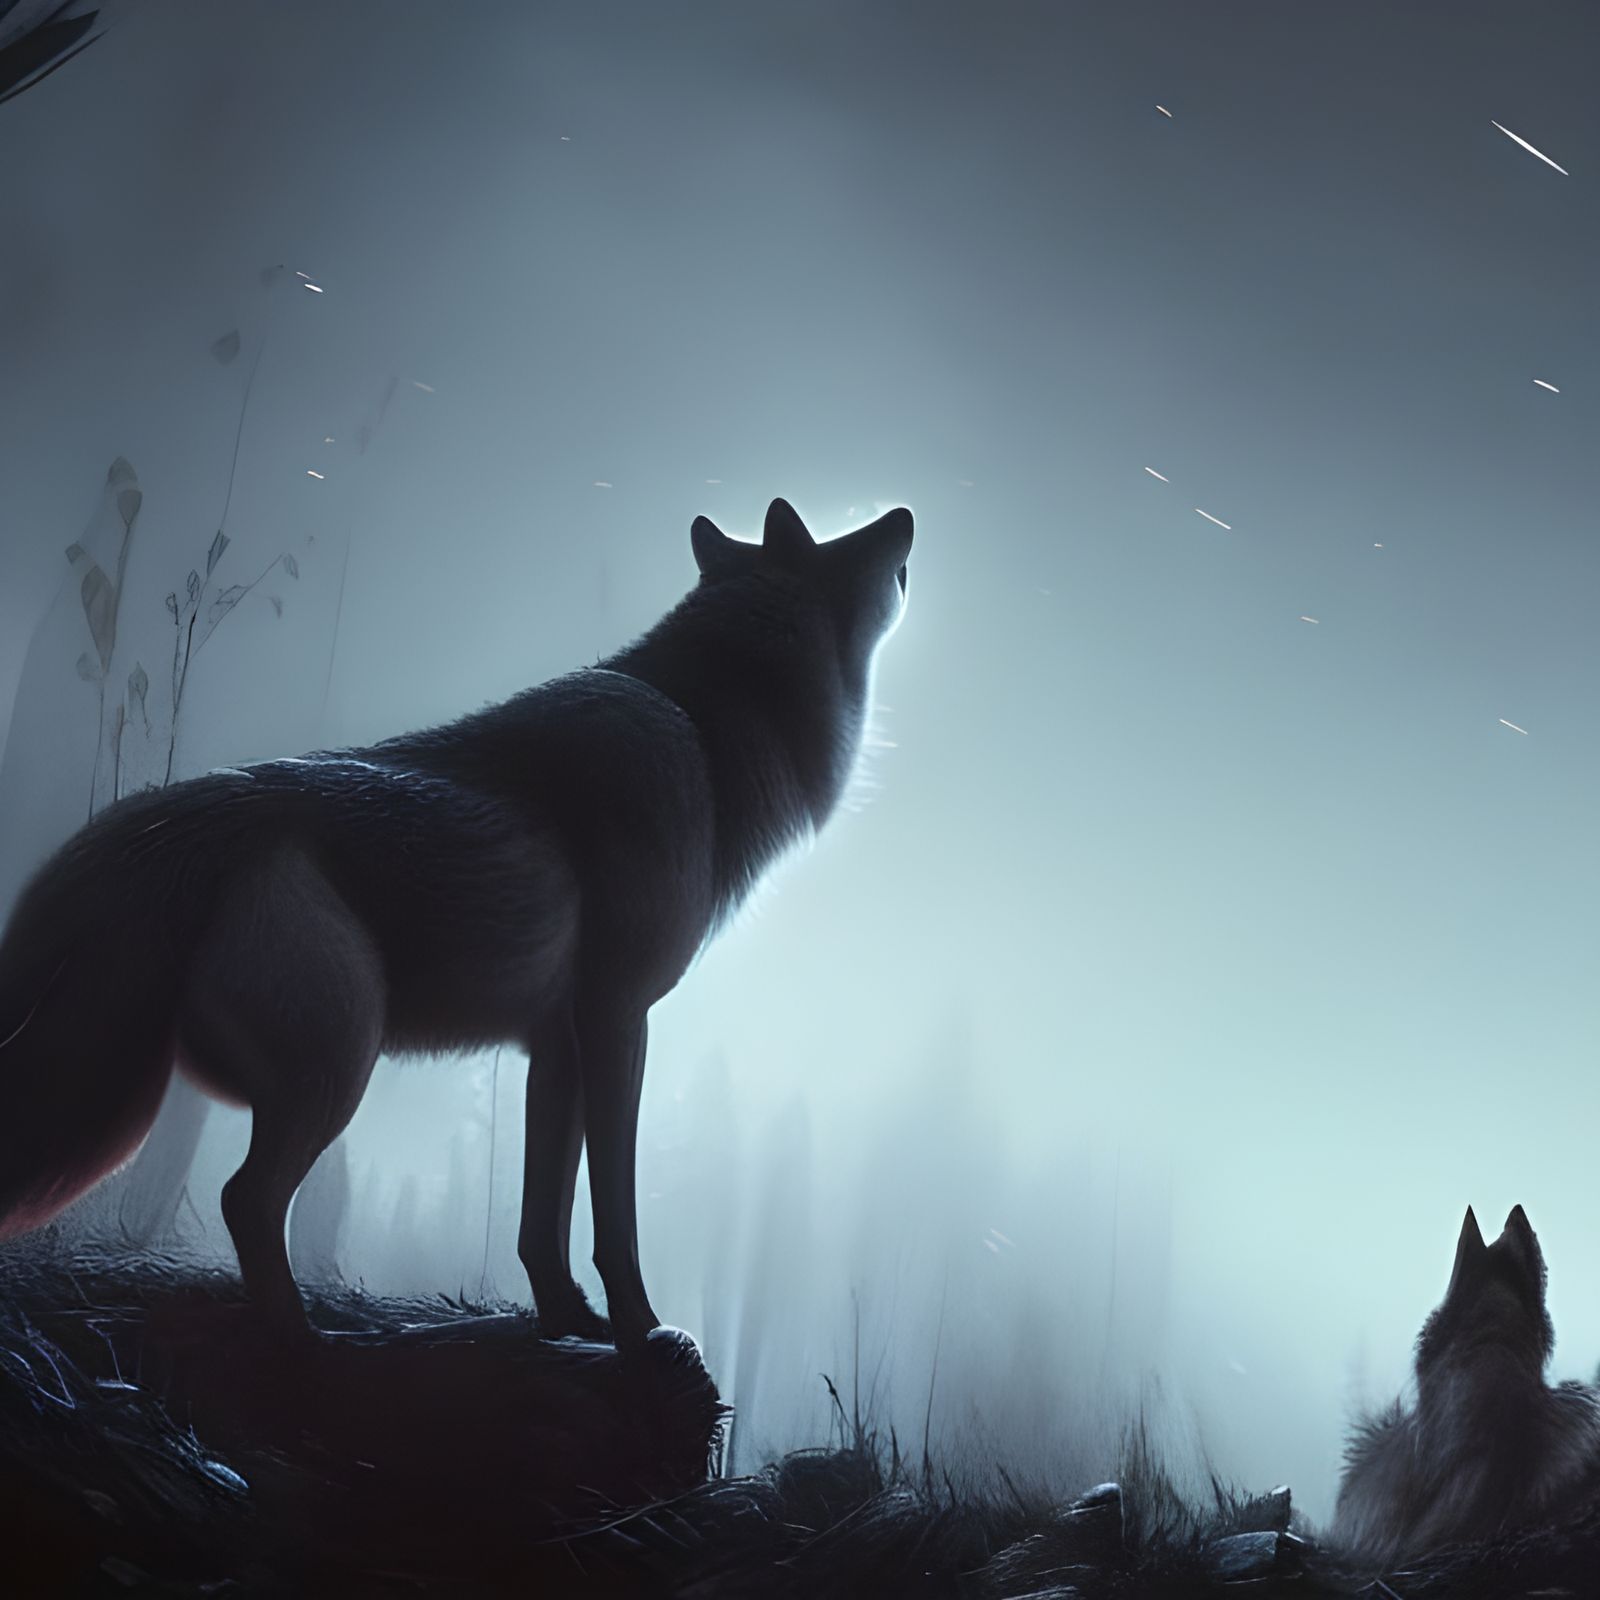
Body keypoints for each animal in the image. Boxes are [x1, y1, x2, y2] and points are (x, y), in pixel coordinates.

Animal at [0, 497, 913, 1352]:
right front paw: (640, 1333)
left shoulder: (556, 1047)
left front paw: (566, 1322)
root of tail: (171, 828)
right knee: (246, 1199)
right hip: (339, 1072)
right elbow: (615, 1219)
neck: (701, 729)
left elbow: (540, 1224)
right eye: (840, 540)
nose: (904, 515)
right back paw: (308, 1342)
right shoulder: (618, 1020)